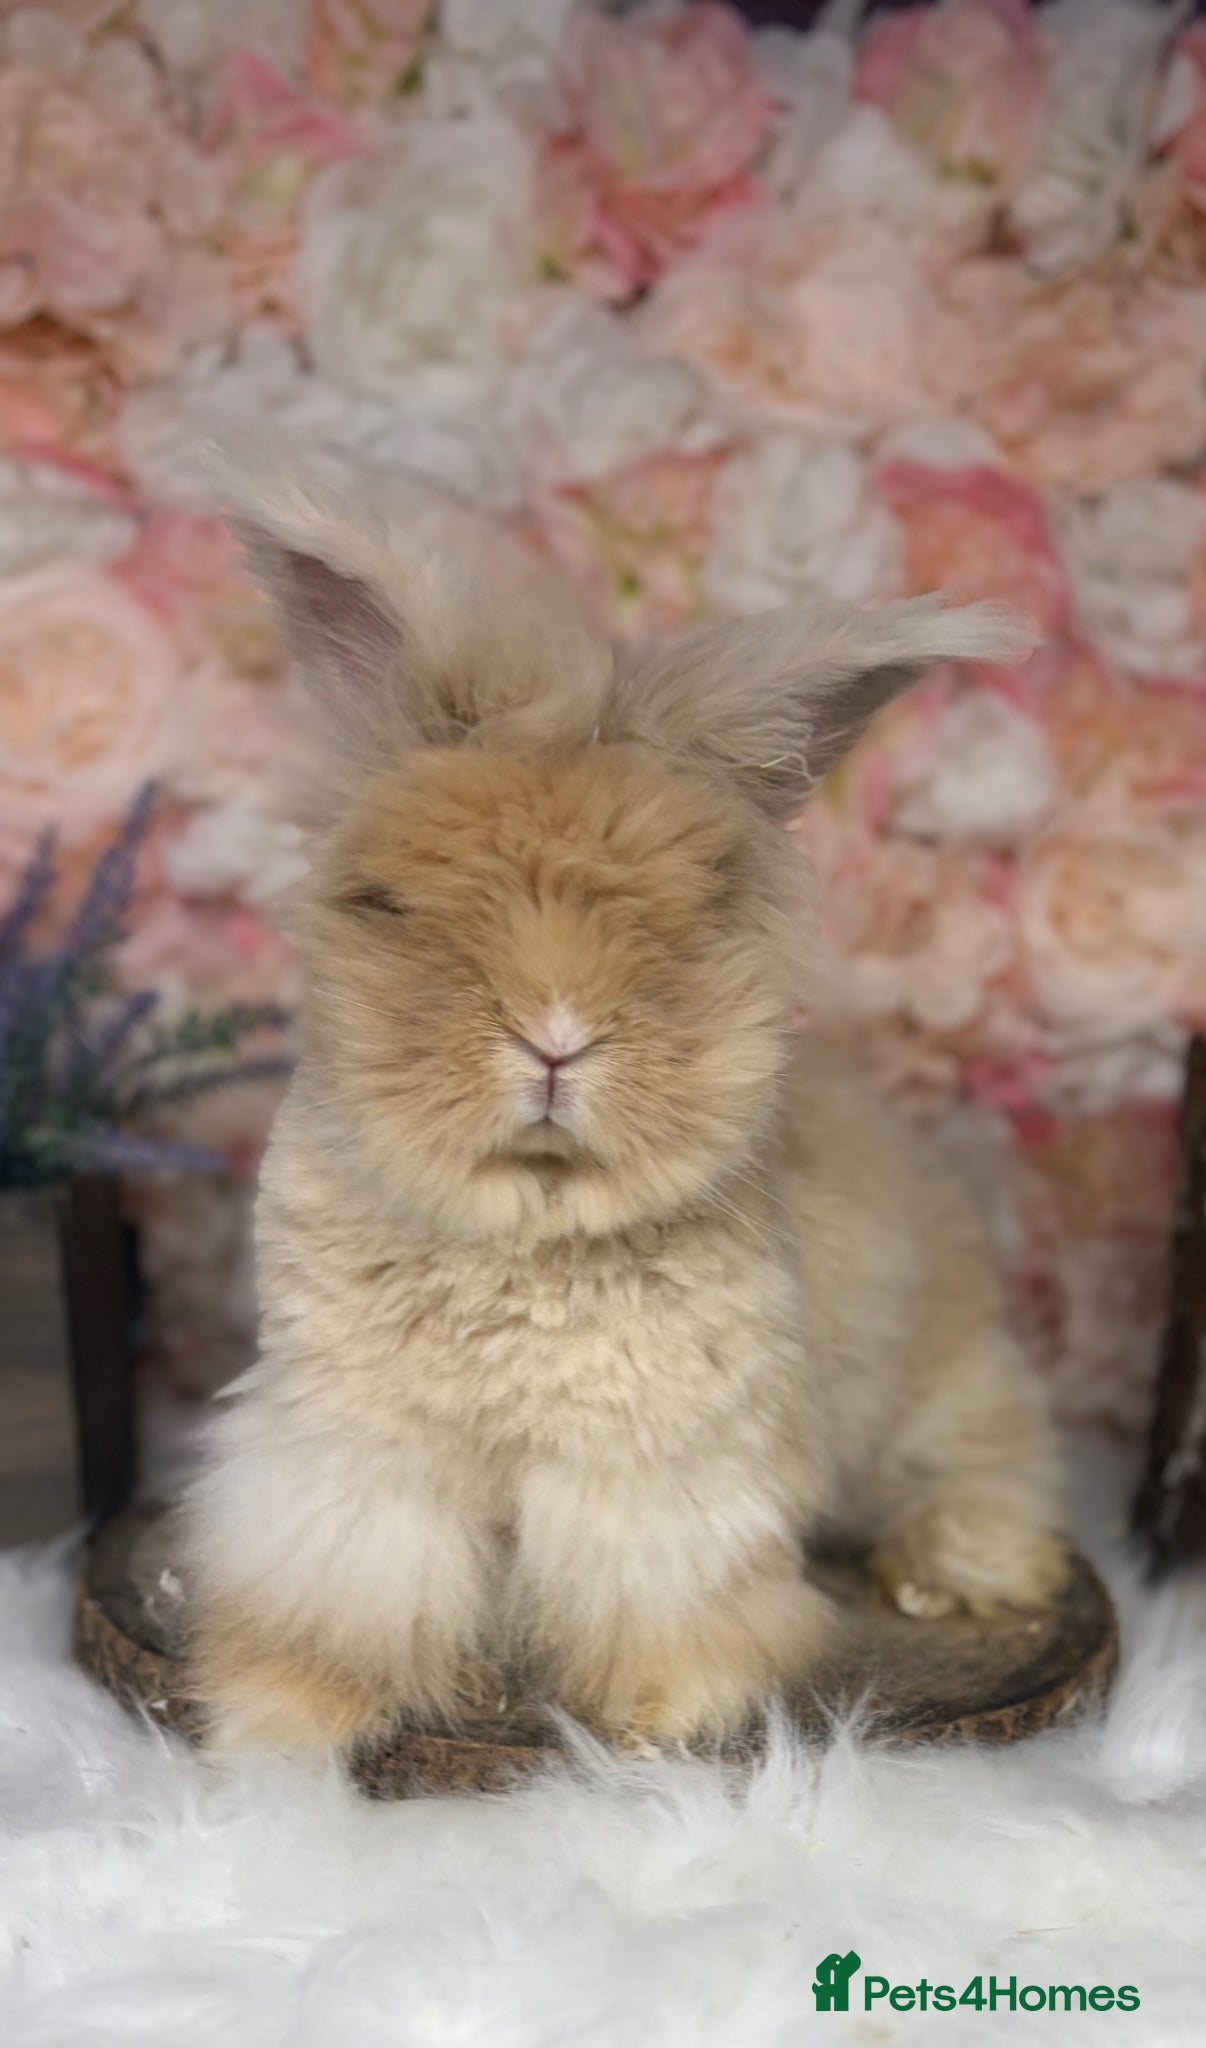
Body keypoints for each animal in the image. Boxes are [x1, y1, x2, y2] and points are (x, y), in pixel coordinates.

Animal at [184, 460, 1066, 1757]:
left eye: (692, 920)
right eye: (391, 905)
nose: (556, 1035)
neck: (530, 1219)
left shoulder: (657, 1474)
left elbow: (656, 1595)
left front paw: (660, 1723)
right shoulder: (358, 1450)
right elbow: (345, 1589)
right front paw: (273, 1723)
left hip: (945, 1381)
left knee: (989, 1457)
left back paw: (975, 1571)